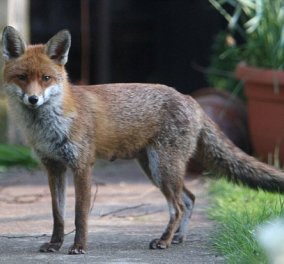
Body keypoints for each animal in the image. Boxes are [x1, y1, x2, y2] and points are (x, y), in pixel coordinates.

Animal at [1, 25, 284, 255]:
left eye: (46, 78)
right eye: (22, 78)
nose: (33, 99)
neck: (50, 125)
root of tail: (190, 98)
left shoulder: (82, 166)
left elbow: (80, 214)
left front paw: (79, 246)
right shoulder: (54, 167)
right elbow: (58, 214)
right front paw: (55, 244)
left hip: (162, 169)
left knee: (178, 206)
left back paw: (164, 241)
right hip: (154, 169)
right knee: (190, 199)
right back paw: (178, 237)